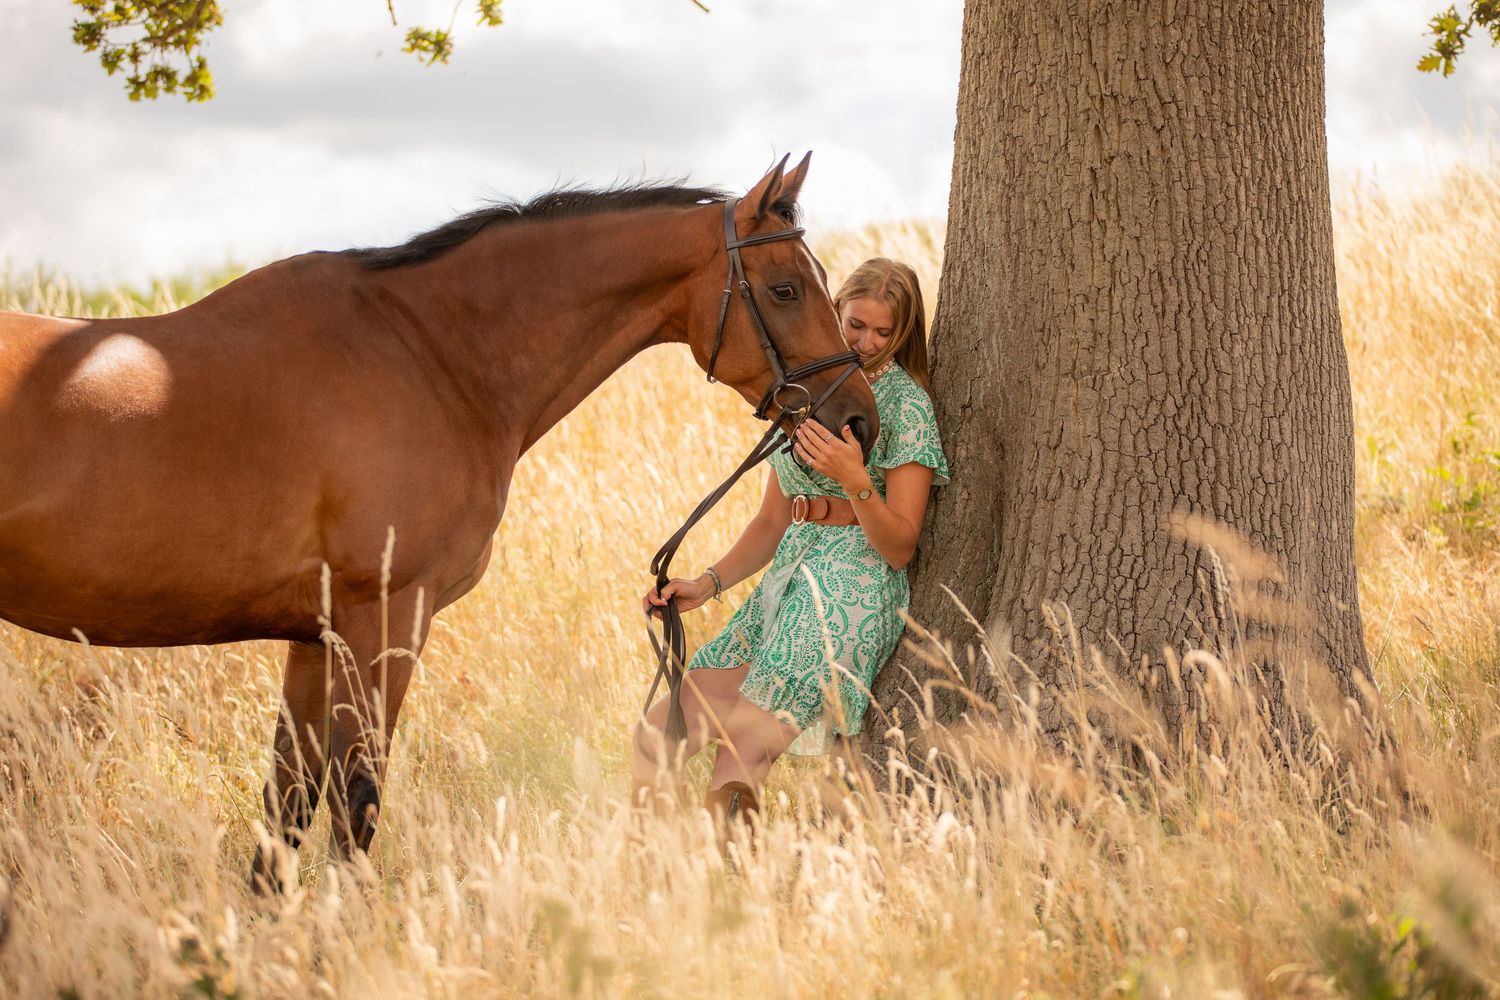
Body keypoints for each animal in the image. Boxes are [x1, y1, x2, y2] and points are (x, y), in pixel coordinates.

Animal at [0, 154, 879, 891]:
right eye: (785, 289)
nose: (860, 423)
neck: (430, 355)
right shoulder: (384, 617)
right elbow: (355, 797)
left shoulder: (315, 636)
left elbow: (289, 800)